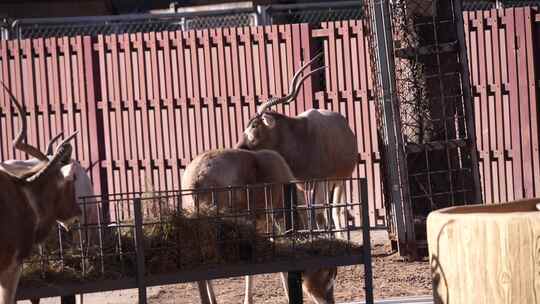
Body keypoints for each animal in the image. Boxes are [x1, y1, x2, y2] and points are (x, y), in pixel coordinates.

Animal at [236, 51, 358, 238]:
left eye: (255, 125)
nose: (239, 146)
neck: (299, 136)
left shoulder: (316, 181)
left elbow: (319, 210)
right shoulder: (301, 184)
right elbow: (306, 210)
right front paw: (314, 235)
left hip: (340, 179)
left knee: (335, 209)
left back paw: (340, 235)